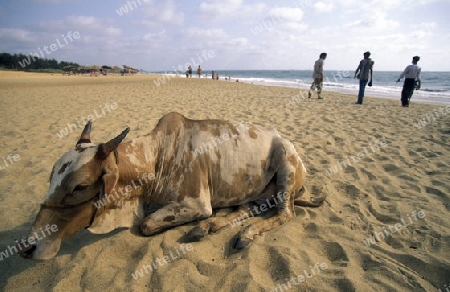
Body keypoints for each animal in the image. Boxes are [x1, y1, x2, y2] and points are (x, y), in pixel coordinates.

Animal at [18, 112, 324, 260]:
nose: (27, 247)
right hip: (255, 190)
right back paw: (208, 228)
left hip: (286, 169)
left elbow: (146, 224)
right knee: (248, 209)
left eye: (79, 187)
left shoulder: (197, 203)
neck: (156, 159)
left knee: (284, 213)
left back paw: (244, 234)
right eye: (50, 178)